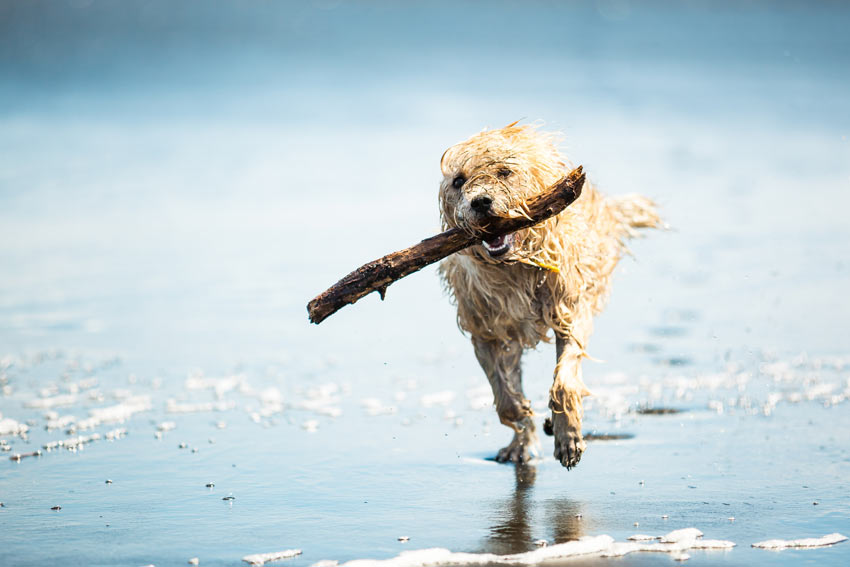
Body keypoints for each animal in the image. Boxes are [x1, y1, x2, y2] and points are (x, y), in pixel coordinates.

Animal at [438, 122, 656, 468]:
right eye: (458, 181)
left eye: (504, 172)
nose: (481, 202)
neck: (517, 269)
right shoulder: (486, 332)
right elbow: (504, 393)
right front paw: (522, 416)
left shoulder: (570, 312)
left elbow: (565, 381)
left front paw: (568, 436)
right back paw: (520, 443)